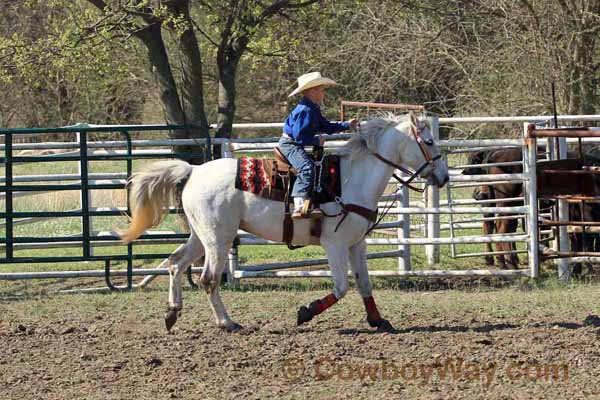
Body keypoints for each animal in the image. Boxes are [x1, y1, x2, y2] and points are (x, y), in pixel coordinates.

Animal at [118, 111, 446, 332]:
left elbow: (364, 283)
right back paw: (227, 323)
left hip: (201, 236)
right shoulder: (335, 244)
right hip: (218, 240)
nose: (443, 177)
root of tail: (194, 171)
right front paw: (305, 313)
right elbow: (341, 287)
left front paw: (379, 321)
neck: (353, 179)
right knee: (208, 279)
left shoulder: (357, 244)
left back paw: (172, 313)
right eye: (429, 141)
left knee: (175, 263)